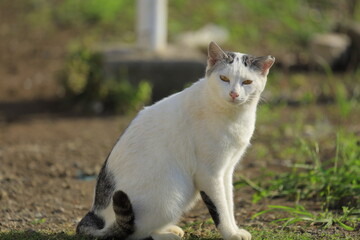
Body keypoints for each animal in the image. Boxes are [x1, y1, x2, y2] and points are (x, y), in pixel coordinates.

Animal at [76, 41, 272, 240]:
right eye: (224, 78)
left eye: (247, 82)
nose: (233, 94)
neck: (235, 116)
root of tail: (97, 213)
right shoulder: (209, 173)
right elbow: (220, 208)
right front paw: (230, 233)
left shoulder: (227, 170)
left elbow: (228, 204)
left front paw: (234, 228)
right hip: (170, 197)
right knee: (136, 233)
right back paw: (168, 236)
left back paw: (170, 229)